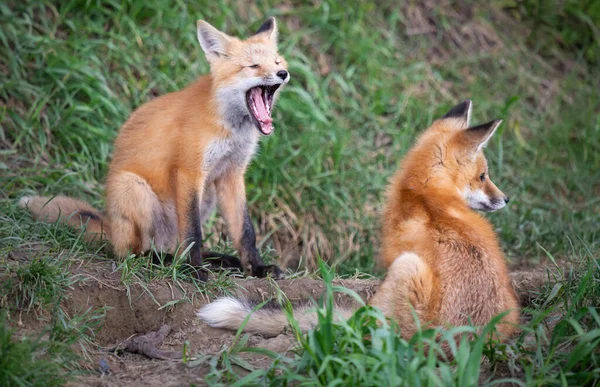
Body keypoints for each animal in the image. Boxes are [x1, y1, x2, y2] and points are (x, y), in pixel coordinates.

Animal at [19, 17, 290, 278]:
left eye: (277, 61)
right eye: (253, 66)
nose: (283, 73)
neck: (232, 127)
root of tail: (112, 229)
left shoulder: (231, 174)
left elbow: (245, 231)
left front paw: (257, 268)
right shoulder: (189, 171)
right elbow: (193, 231)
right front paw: (194, 271)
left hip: (207, 195)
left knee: (174, 247)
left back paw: (213, 261)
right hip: (133, 188)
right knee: (133, 253)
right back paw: (168, 262)